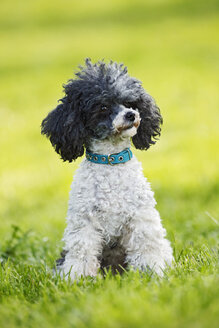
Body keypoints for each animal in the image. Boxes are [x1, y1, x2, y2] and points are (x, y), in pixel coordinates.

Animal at [41, 59, 173, 280]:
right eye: (103, 106)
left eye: (131, 103)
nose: (131, 115)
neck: (111, 162)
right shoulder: (85, 221)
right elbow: (82, 251)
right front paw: (80, 279)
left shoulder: (141, 217)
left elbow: (146, 247)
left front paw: (151, 273)